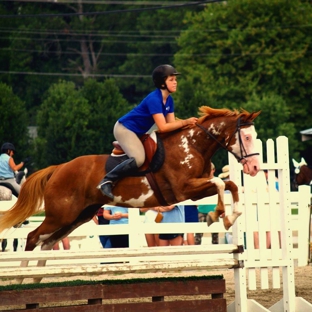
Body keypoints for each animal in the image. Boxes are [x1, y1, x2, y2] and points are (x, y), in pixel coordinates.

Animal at [0, 106, 260, 252]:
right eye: (247, 137)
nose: (256, 167)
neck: (193, 145)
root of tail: (59, 168)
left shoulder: (195, 191)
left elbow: (230, 184)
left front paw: (230, 217)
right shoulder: (185, 189)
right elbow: (220, 183)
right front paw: (218, 215)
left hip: (78, 217)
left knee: (46, 242)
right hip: (60, 215)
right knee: (33, 237)